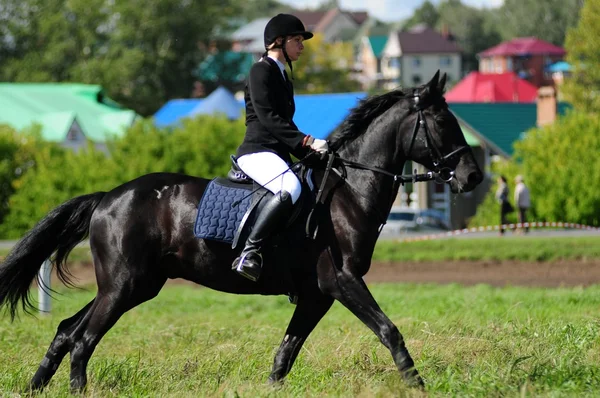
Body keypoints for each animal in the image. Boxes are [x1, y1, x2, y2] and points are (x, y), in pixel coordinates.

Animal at [0, 71, 480, 392]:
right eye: (443, 122)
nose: (472, 177)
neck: (347, 192)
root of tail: (107, 198)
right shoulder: (341, 281)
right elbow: (389, 330)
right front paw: (418, 386)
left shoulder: (317, 294)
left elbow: (286, 353)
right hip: (124, 286)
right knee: (82, 340)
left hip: (134, 285)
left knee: (67, 330)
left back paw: (35, 387)